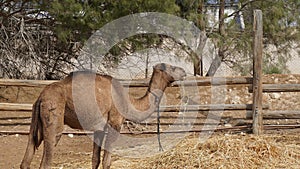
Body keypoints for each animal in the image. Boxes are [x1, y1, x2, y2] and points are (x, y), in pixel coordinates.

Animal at [20, 62, 185, 168]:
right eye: (172, 67)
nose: (183, 71)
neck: (128, 101)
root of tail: (41, 98)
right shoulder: (115, 123)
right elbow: (107, 162)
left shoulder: (99, 129)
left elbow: (95, 160)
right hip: (53, 115)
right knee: (46, 161)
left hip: (37, 121)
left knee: (26, 159)